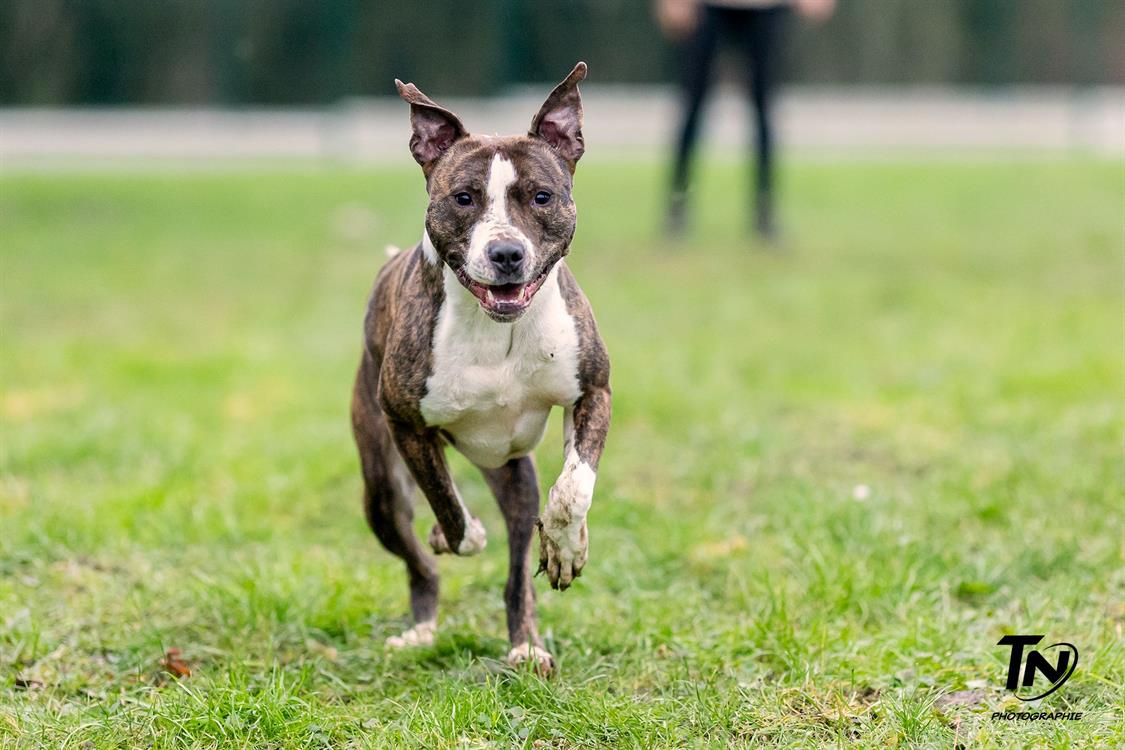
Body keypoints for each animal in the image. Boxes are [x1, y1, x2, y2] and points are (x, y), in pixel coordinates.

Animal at [351, 63, 610, 673]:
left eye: (541, 196)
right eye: (464, 198)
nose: (507, 254)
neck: (499, 332)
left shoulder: (593, 392)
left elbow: (574, 486)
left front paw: (569, 546)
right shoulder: (406, 425)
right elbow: (448, 508)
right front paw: (454, 534)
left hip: (514, 476)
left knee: (518, 575)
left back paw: (526, 646)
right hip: (380, 485)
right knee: (420, 560)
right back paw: (421, 628)